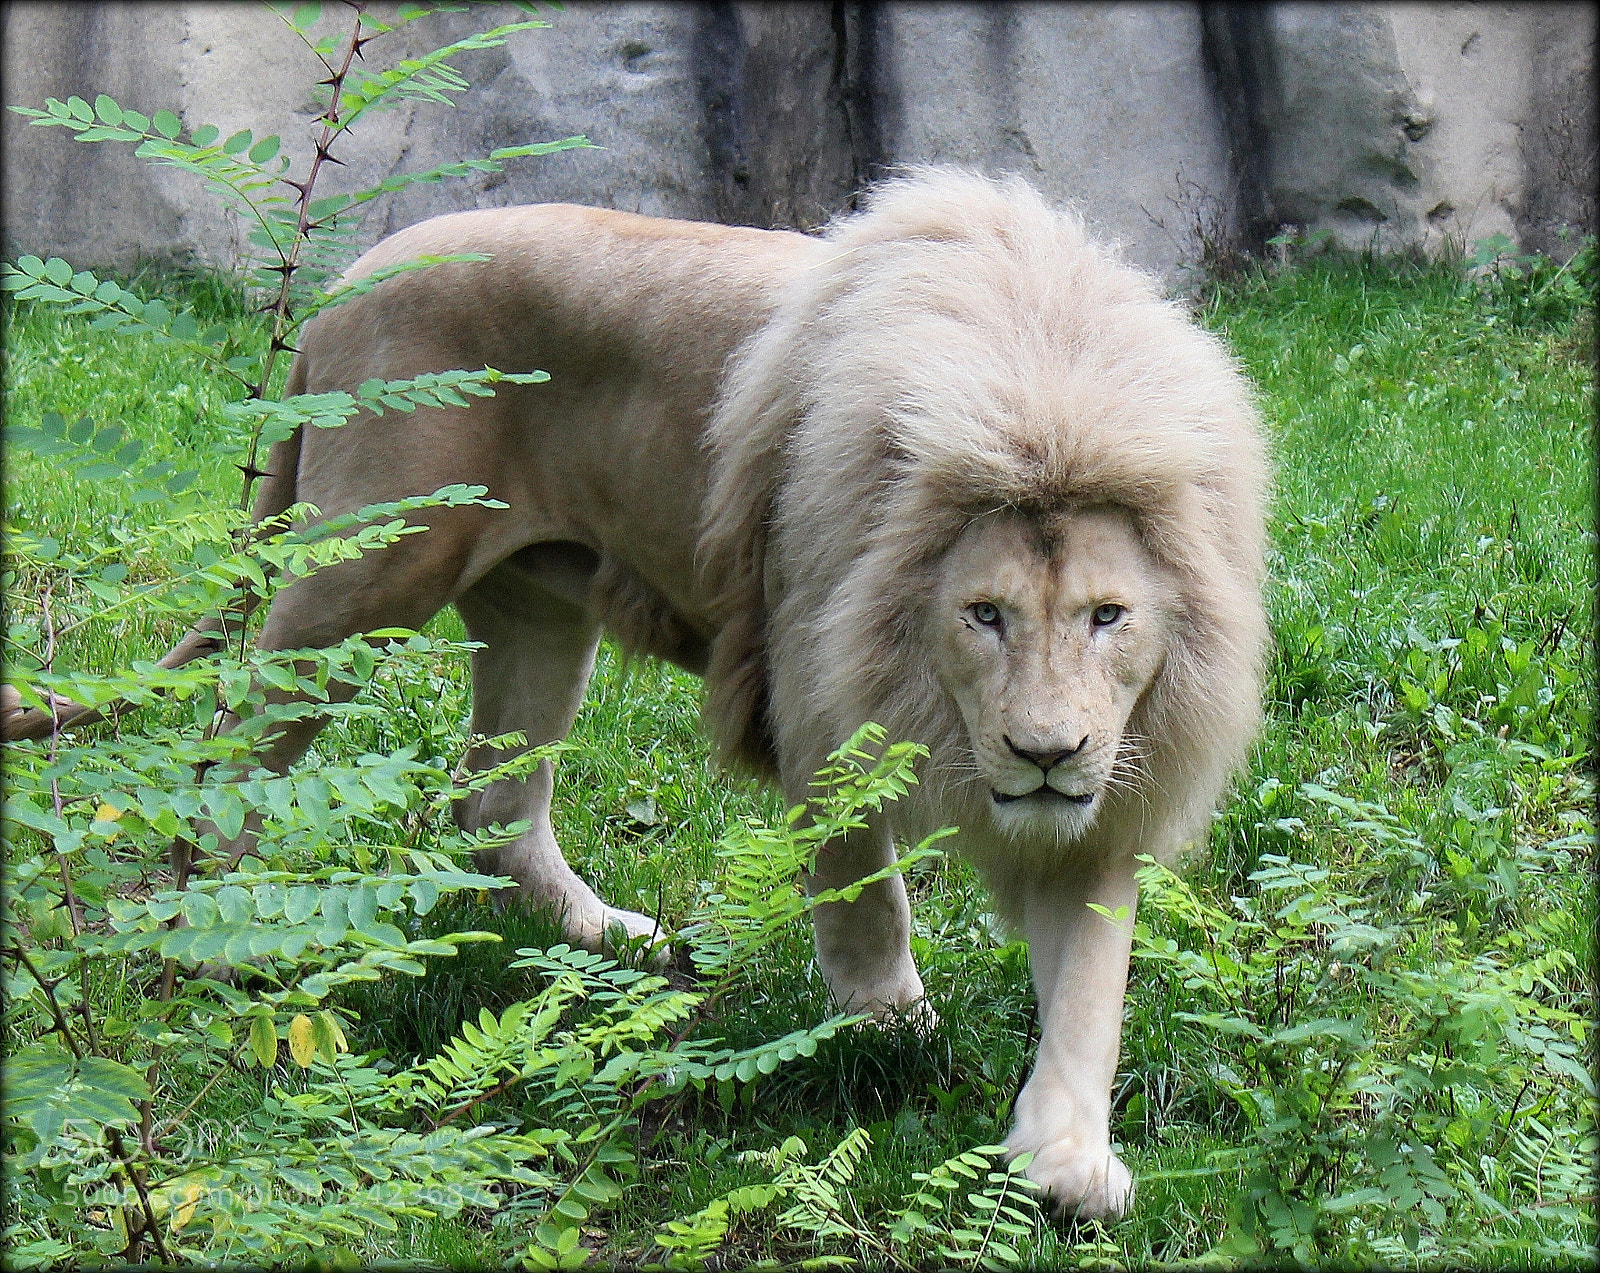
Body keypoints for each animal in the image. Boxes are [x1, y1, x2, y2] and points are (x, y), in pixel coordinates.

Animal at [239, 167, 1268, 1221]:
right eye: (985, 614)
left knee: (493, 802)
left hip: (539, 603)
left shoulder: (1109, 792)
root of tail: (349, 281)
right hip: (366, 576)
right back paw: (219, 938)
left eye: (1108, 616)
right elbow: (869, 900)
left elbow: (1092, 983)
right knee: (235, 741)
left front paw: (1065, 1162)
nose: (1045, 754)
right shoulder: (819, 710)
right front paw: (896, 1029)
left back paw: (606, 938)